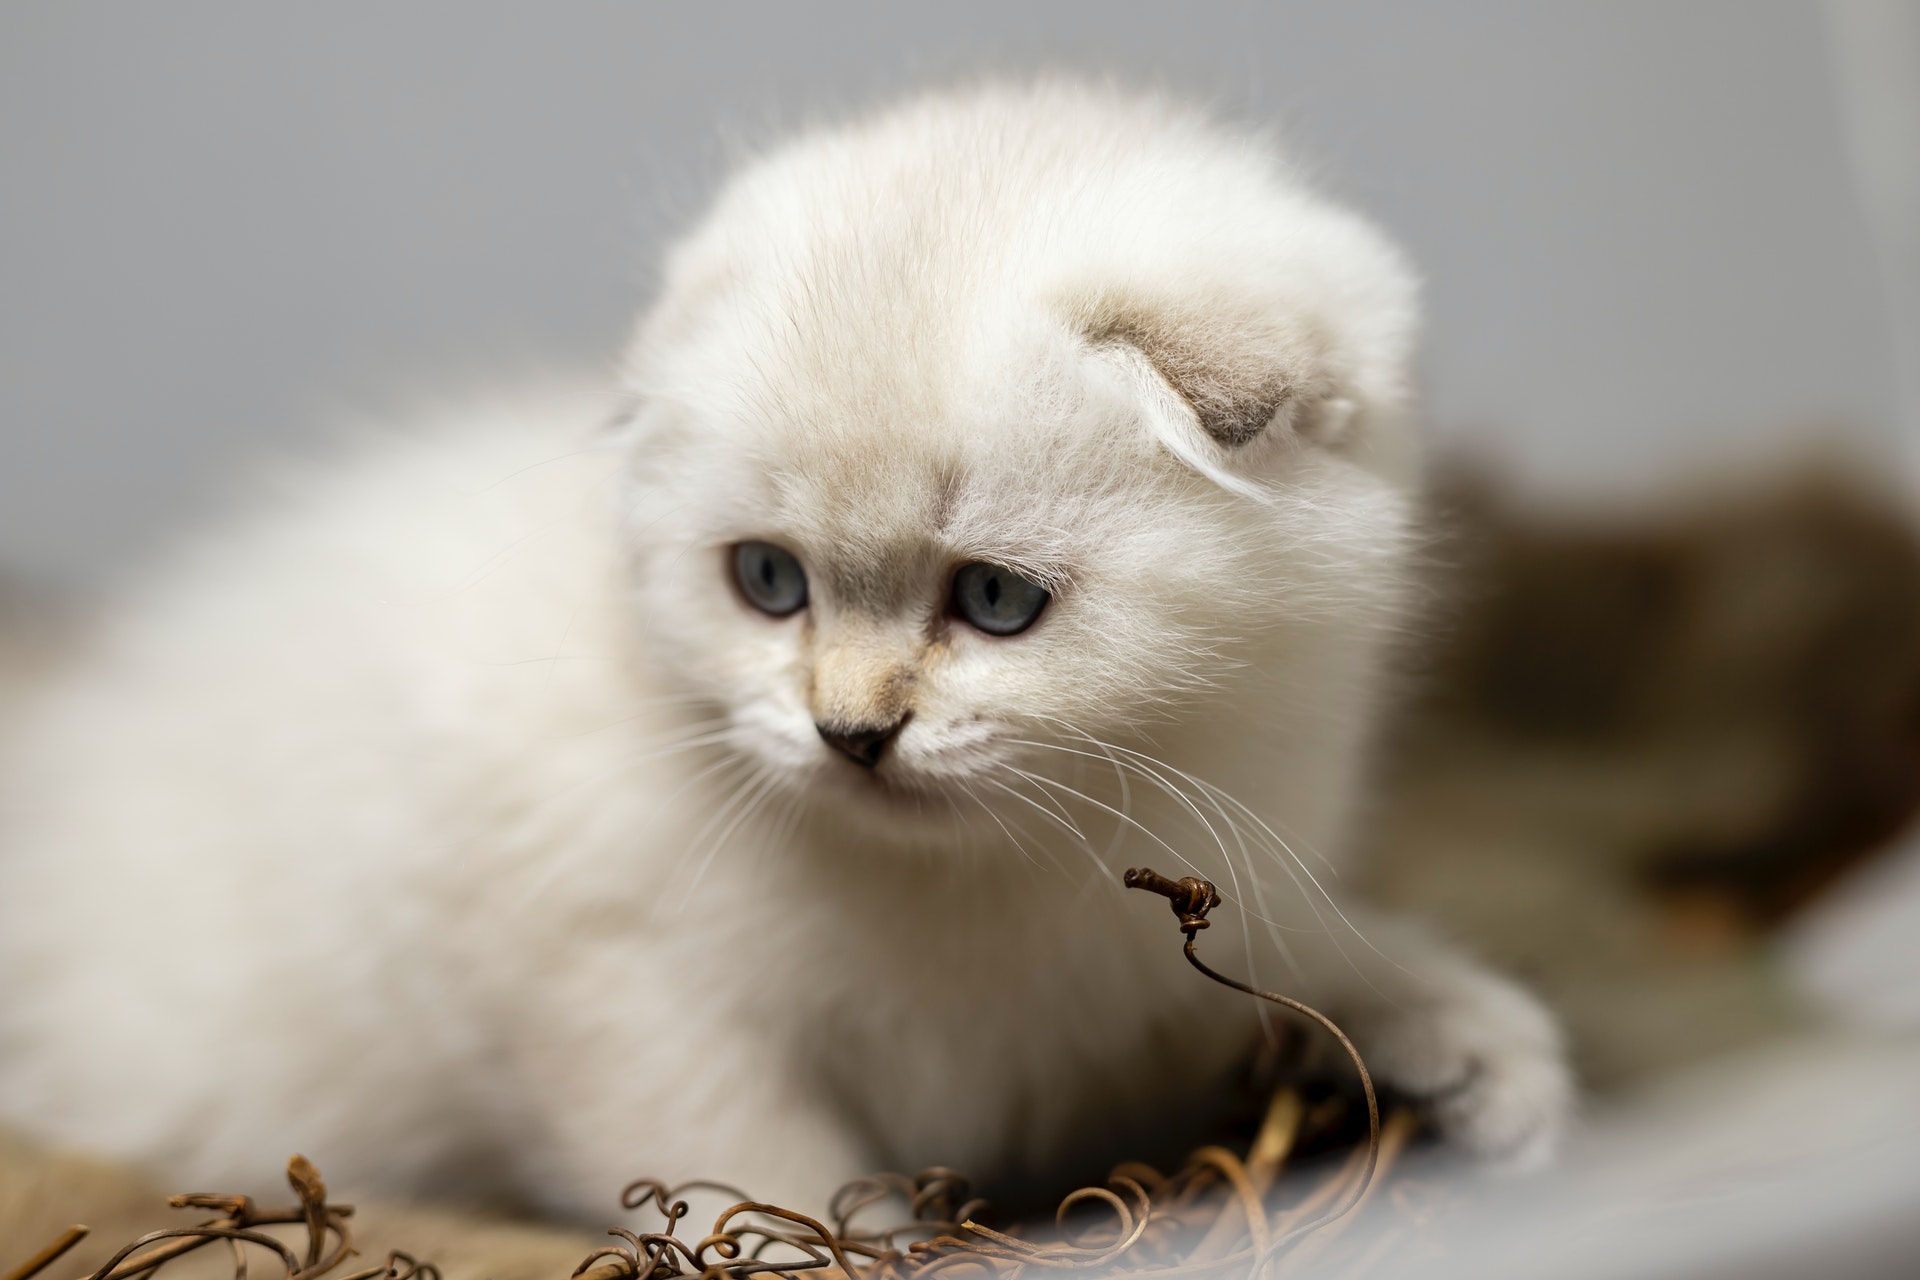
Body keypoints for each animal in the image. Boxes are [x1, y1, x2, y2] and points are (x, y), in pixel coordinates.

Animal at [0, 82, 1566, 1220]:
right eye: (768, 583)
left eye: (995, 602)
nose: (850, 733)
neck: (984, 886)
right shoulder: (598, 978)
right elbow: (761, 1175)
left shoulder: (1153, 975)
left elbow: (1328, 957)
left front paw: (1489, 1065)